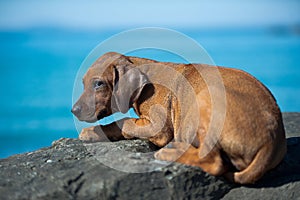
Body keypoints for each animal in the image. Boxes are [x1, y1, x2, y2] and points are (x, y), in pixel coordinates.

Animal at [72, 52, 286, 184]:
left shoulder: (157, 127)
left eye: (99, 84)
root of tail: (271, 142)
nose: (74, 111)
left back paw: (169, 152)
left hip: (203, 101)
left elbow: (123, 122)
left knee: (214, 161)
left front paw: (92, 132)